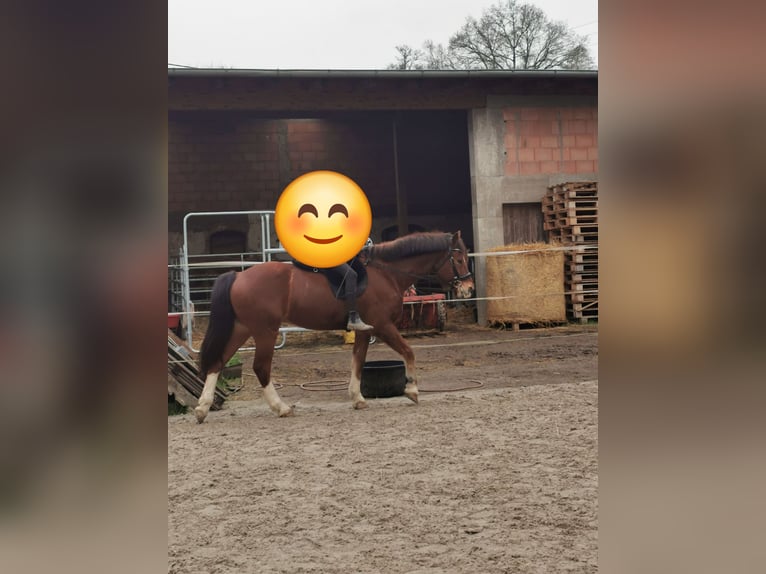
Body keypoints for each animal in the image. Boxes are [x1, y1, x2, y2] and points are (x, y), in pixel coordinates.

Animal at [194, 230, 474, 421]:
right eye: (459, 259)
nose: (469, 289)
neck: (386, 273)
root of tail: (239, 275)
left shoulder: (367, 330)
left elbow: (358, 361)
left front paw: (358, 398)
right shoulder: (383, 325)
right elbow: (408, 351)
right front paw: (413, 389)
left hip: (243, 328)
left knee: (218, 362)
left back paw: (202, 408)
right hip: (265, 331)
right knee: (261, 367)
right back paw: (281, 408)